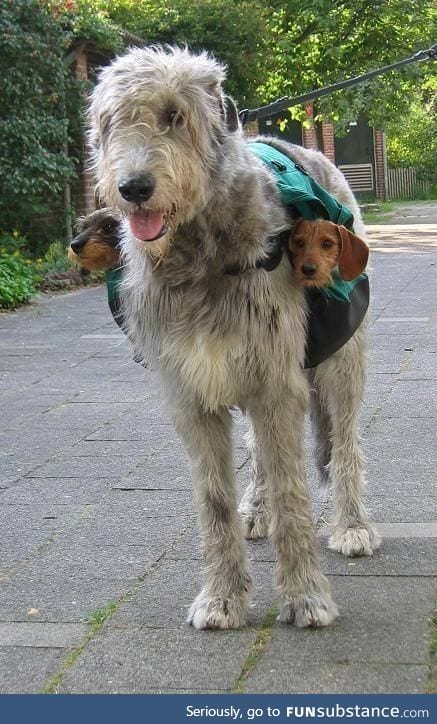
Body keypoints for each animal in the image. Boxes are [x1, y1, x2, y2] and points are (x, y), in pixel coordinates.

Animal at [87, 45, 378, 632]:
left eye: (175, 115)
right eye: (110, 123)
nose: (133, 188)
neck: (198, 258)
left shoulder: (275, 380)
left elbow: (294, 492)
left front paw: (305, 595)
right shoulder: (191, 393)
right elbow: (214, 500)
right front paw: (222, 597)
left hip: (340, 360)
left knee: (344, 443)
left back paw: (351, 524)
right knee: (260, 453)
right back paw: (257, 508)